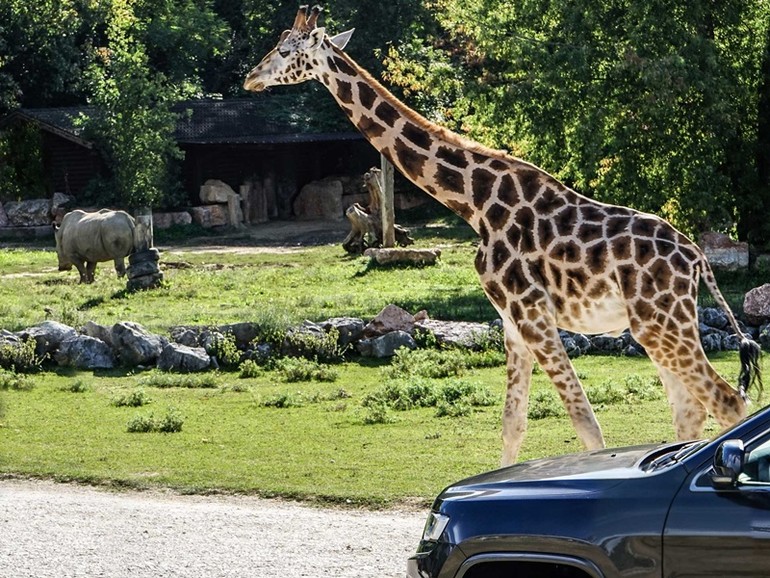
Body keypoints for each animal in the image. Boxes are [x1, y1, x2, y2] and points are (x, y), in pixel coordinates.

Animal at [243, 4, 760, 464]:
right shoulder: (512, 321)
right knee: (690, 409)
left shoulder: (532, 313)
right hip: (660, 326)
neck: (476, 204)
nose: (251, 77)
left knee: (725, 402)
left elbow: (586, 423)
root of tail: (697, 259)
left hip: (660, 323)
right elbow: (513, 424)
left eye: (286, 50)